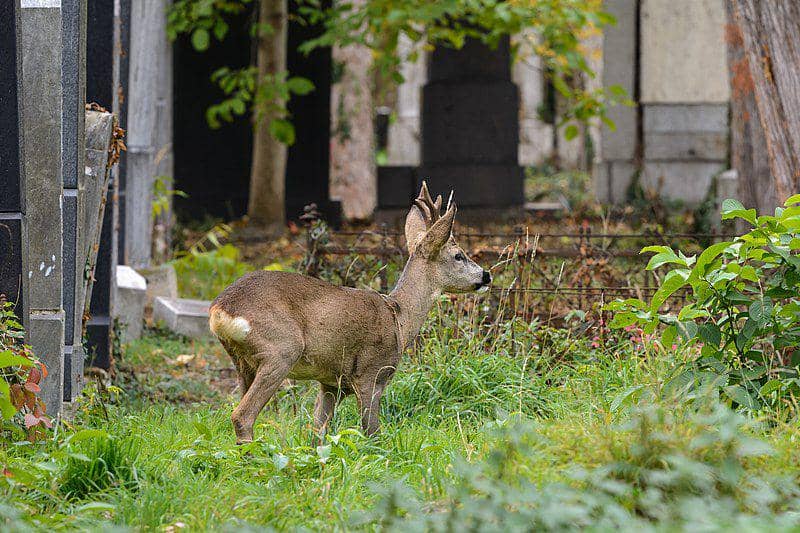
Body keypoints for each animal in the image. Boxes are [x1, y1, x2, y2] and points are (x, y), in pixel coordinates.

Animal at [208, 182, 492, 443]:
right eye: (458, 255)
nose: (486, 275)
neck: (399, 318)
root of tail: (219, 309)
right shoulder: (371, 372)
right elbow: (372, 433)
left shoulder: (331, 383)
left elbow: (317, 433)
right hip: (281, 348)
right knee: (242, 415)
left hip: (242, 362)